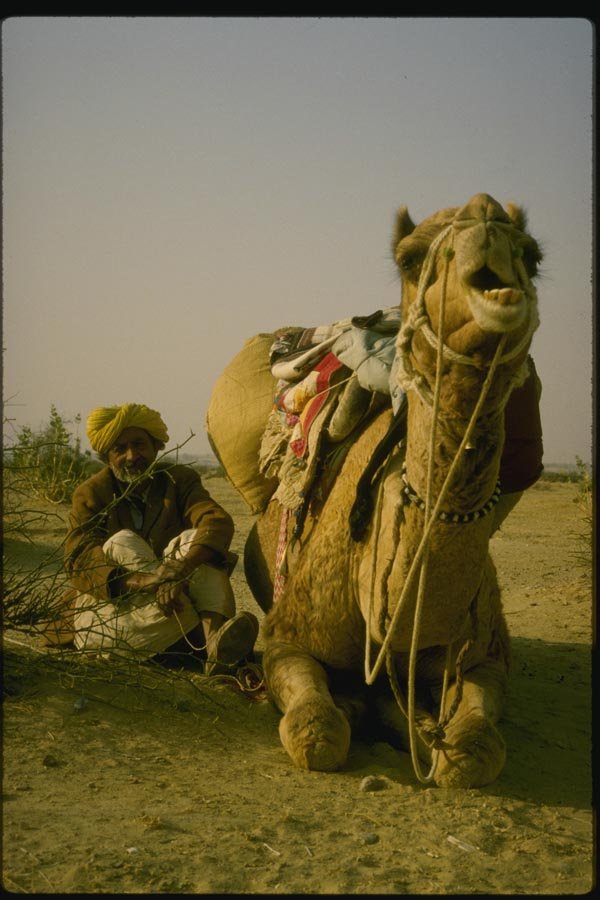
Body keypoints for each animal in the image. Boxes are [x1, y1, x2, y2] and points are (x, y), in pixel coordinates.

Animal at [209, 193, 542, 788]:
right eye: (410, 258)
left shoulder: (486, 652)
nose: (485, 221)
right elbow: (317, 731)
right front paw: (360, 709)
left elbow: (475, 749)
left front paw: (422, 730)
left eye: (532, 254)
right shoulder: (288, 637)